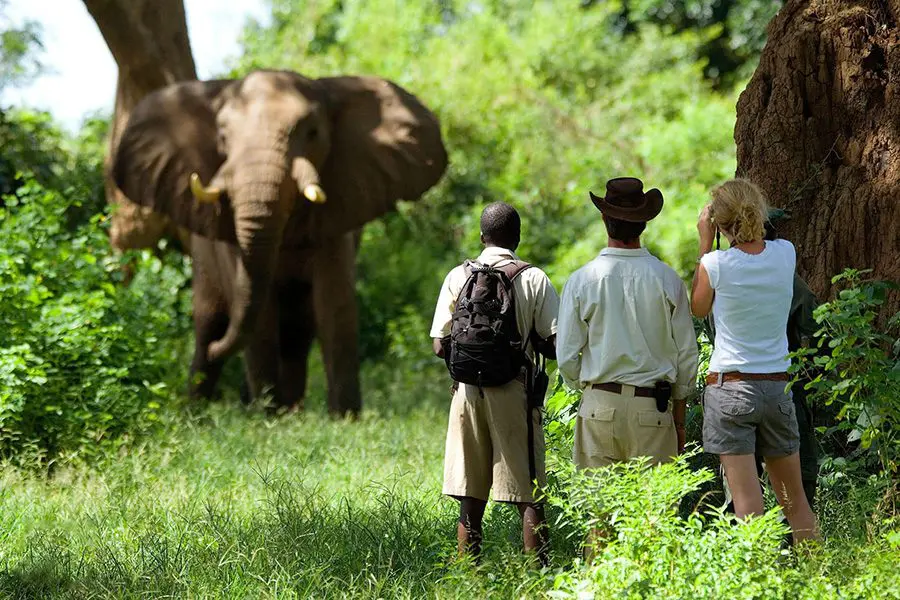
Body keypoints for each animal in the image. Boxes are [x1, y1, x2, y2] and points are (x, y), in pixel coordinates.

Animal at [109, 70, 448, 415]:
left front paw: (343, 417)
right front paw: (268, 415)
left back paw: (289, 407)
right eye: (223, 137)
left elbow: (335, 306)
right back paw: (202, 409)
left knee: (298, 333)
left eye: (312, 133)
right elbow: (260, 315)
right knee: (208, 324)